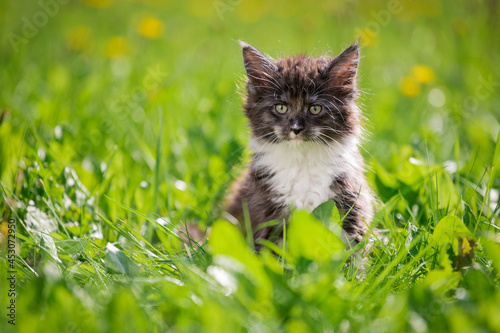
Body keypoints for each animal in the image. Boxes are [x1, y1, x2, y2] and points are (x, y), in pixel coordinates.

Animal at [225, 41, 374, 248]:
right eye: (281, 107)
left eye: (315, 108)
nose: (296, 128)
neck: (303, 160)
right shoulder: (267, 210)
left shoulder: (350, 199)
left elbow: (352, 249)